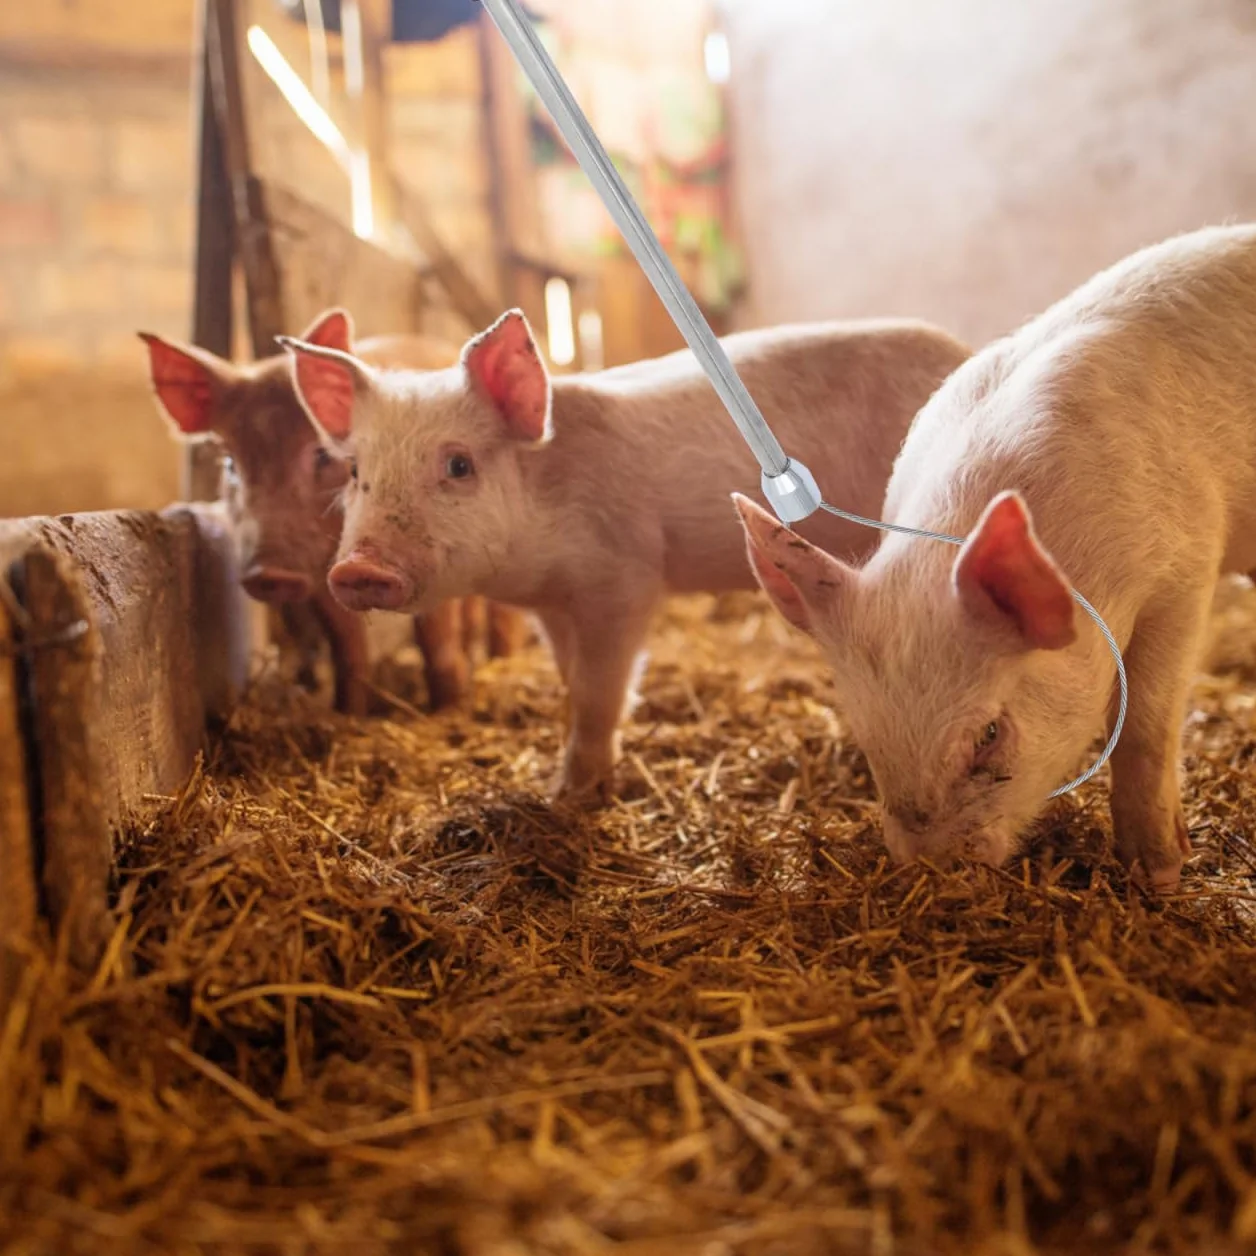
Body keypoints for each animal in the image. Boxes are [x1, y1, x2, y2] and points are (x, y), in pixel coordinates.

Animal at [138, 310, 528, 716]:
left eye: (322, 454)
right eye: (230, 463)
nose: (268, 574)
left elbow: (436, 641)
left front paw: (446, 711)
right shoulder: (324, 576)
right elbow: (347, 644)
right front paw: (348, 713)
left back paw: (500, 664)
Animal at [278, 310, 970, 800]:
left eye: (458, 465)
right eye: (355, 472)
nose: (359, 568)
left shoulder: (625, 578)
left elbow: (596, 689)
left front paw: (572, 795)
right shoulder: (553, 606)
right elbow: (569, 679)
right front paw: (568, 782)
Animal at [735, 223, 1256, 892]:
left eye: (988, 734)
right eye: (865, 733)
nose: (932, 867)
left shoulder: (1183, 571)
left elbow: (1145, 724)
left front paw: (1159, 876)